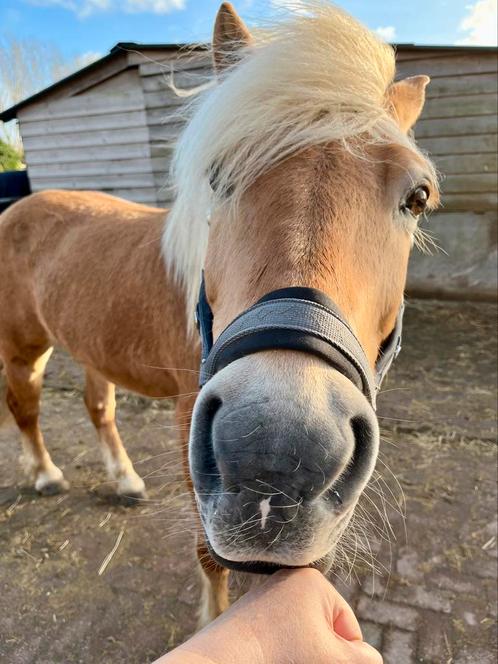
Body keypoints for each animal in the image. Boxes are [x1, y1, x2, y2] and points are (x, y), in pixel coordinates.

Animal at [0, 1, 436, 624]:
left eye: (418, 197)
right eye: (219, 173)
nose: (276, 455)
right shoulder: (190, 427)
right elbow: (210, 558)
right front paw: (212, 621)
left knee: (97, 407)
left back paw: (125, 480)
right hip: (24, 348)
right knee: (26, 409)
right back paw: (45, 475)